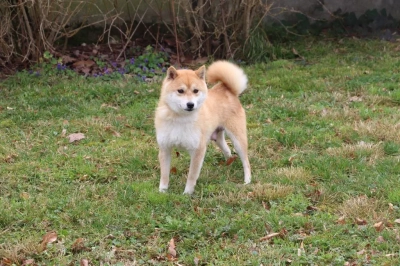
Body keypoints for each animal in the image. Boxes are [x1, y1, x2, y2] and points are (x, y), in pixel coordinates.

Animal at [154, 59, 250, 193]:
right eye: (180, 91)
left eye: (195, 91)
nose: (190, 104)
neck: (180, 118)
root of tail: (225, 89)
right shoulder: (165, 148)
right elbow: (164, 174)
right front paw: (162, 191)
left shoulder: (198, 150)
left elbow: (192, 175)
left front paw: (187, 193)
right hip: (218, 138)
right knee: (228, 150)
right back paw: (228, 163)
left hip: (238, 140)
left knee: (246, 161)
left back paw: (247, 180)